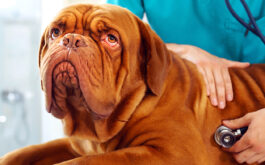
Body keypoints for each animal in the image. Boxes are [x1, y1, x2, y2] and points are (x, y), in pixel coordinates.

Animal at [0, 3, 264, 165]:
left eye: (111, 39)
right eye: (55, 32)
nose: (71, 40)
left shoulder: (172, 152)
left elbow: (86, 162)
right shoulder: (78, 143)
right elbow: (27, 151)